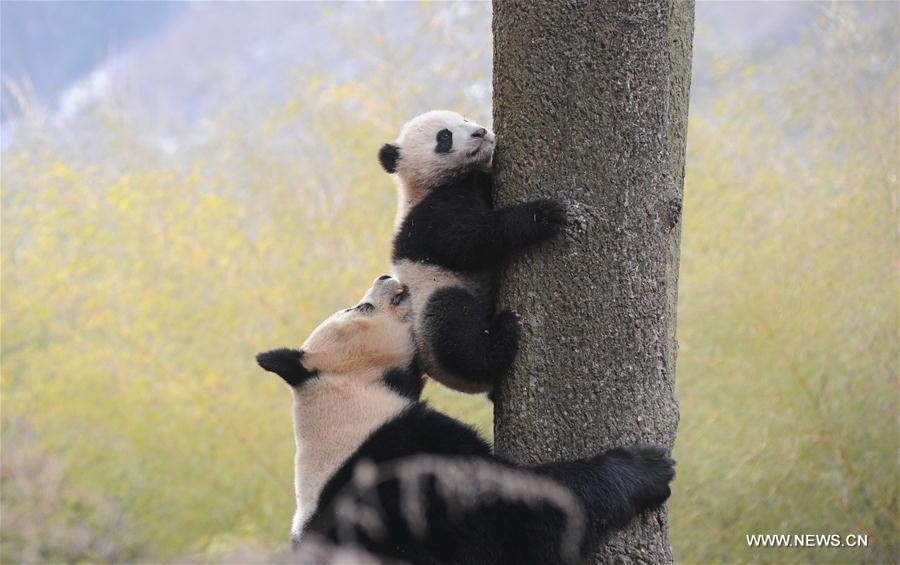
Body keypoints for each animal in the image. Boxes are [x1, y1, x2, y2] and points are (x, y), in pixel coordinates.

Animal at [256, 274, 672, 560]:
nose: (385, 277)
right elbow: (516, 519)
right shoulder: (407, 461)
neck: (348, 393)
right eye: (360, 309)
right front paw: (646, 468)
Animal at [382, 110, 568, 392]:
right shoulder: (430, 219)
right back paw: (502, 334)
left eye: (465, 120)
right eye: (444, 136)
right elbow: (472, 242)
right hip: (431, 300)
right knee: (455, 330)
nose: (479, 133)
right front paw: (542, 216)